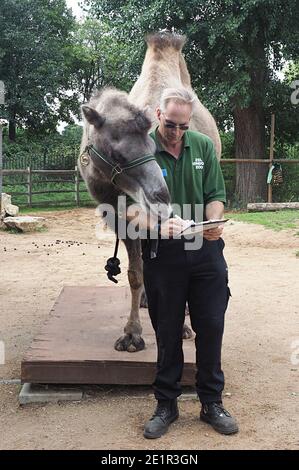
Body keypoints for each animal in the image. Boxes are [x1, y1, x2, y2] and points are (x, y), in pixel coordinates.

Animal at [79, 32, 223, 352]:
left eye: (151, 147)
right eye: (117, 155)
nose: (161, 197)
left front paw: (180, 328)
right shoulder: (114, 212)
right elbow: (134, 273)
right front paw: (132, 334)